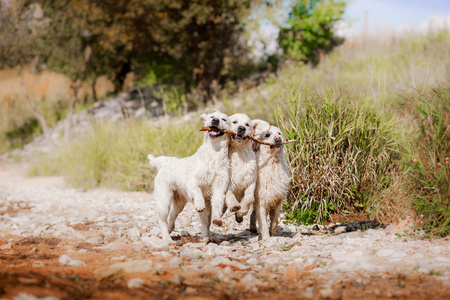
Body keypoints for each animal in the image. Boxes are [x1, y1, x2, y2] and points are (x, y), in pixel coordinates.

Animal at [149, 110, 230, 241]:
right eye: (212, 116)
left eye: (224, 119)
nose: (215, 121)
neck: (214, 154)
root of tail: (166, 162)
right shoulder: (192, 181)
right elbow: (197, 191)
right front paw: (199, 204)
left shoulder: (219, 186)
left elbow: (217, 203)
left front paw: (217, 218)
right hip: (164, 199)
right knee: (162, 219)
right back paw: (167, 238)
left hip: (179, 203)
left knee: (174, 217)